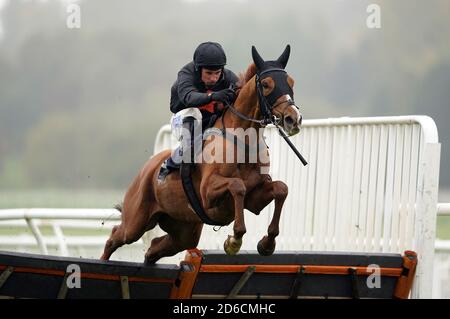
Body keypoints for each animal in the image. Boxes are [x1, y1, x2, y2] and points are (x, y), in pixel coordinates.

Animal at [102, 45, 302, 264]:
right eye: (266, 84)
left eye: (291, 82)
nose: (294, 119)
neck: (242, 142)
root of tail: (146, 168)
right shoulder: (208, 192)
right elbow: (237, 185)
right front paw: (234, 241)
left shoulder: (254, 199)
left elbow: (281, 189)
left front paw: (267, 243)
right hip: (136, 222)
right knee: (115, 236)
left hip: (184, 230)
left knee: (154, 248)